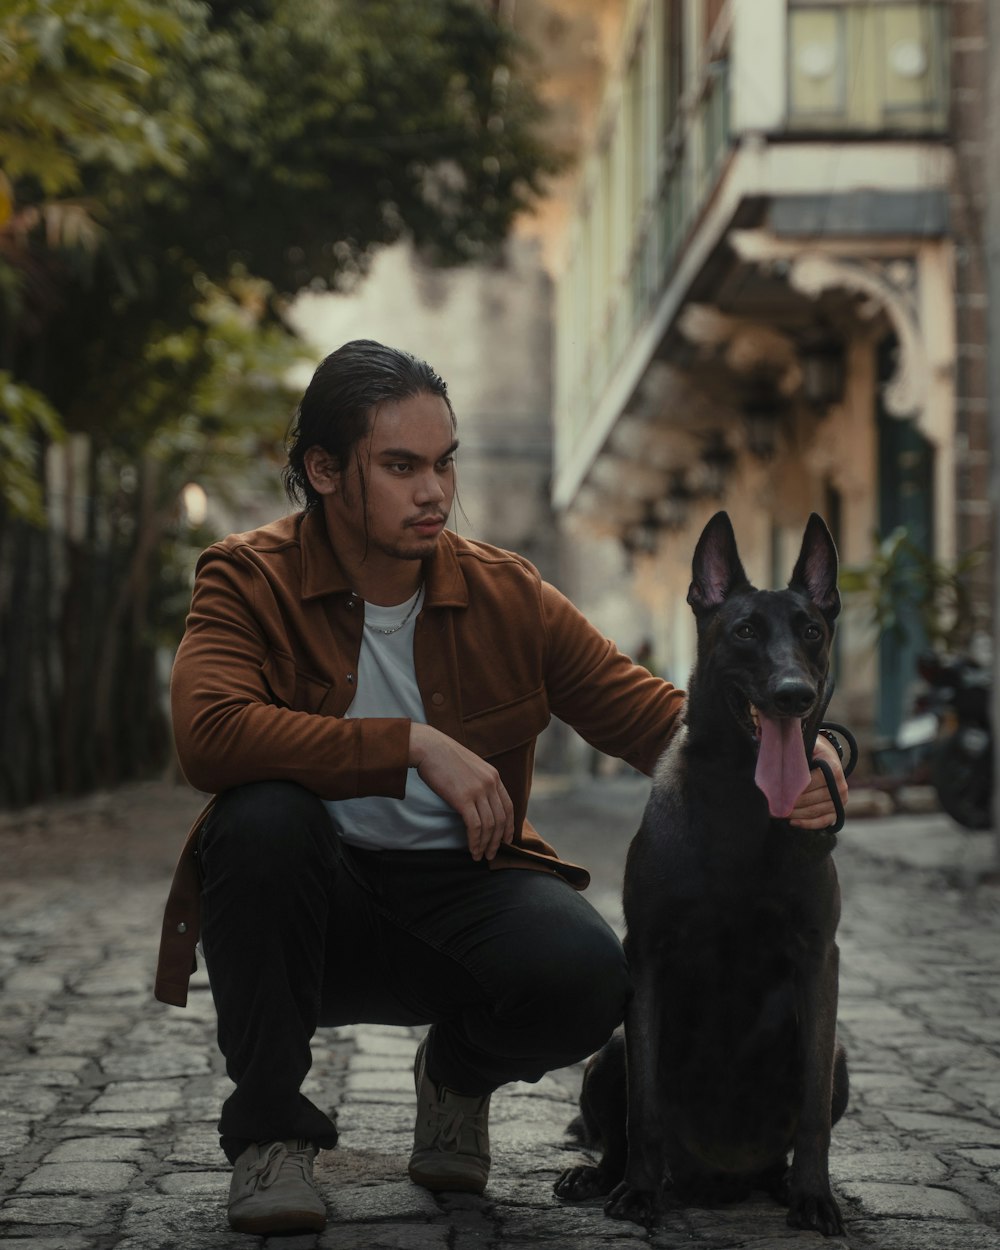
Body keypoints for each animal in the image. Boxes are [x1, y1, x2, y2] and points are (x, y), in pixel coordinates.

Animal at [557, 512, 850, 1235]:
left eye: (811, 630)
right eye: (744, 631)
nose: (795, 695)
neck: (744, 801)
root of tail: (718, 1178)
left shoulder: (818, 959)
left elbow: (811, 1111)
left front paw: (814, 1196)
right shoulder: (647, 956)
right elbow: (644, 1106)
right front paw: (637, 1193)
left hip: (838, 1058)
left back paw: (781, 1184)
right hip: (609, 1049)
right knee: (618, 1131)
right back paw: (602, 1178)